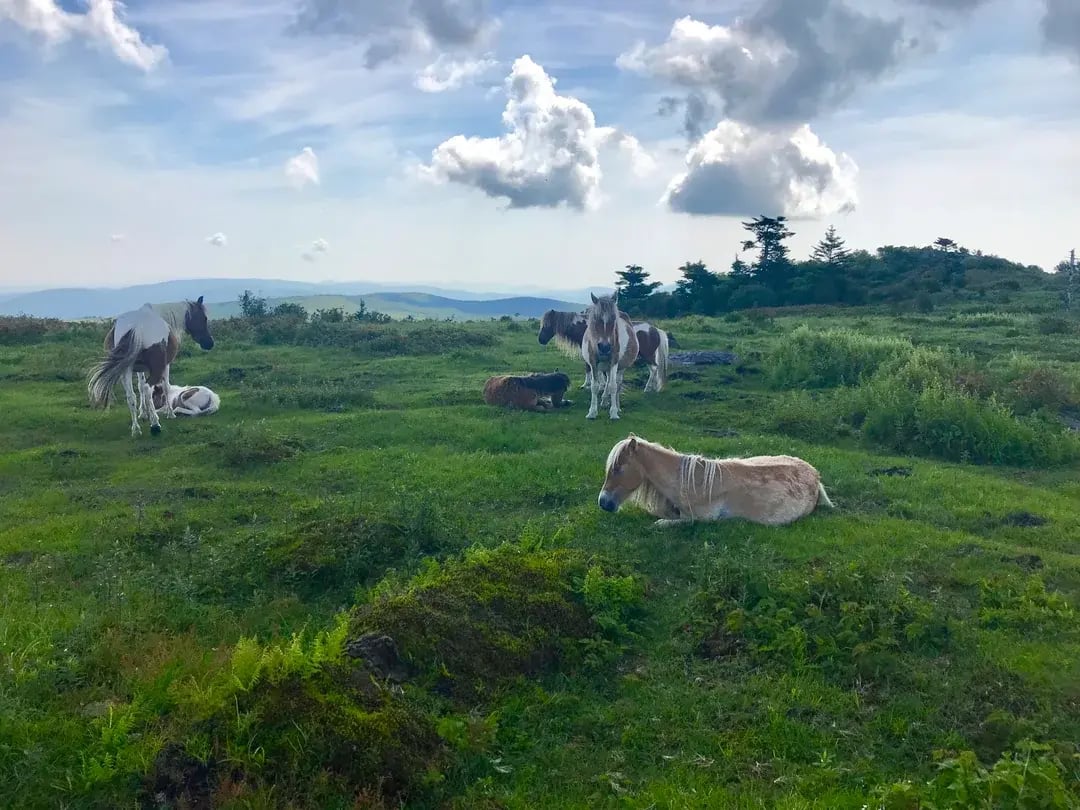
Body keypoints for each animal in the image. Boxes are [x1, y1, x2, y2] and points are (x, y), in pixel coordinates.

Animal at [89, 298, 216, 438]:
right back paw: (155, 425)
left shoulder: (139, 369)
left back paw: (136, 429)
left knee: (131, 395)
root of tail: (135, 327)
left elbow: (140, 387)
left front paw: (144, 413)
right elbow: (165, 387)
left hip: (125, 370)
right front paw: (169, 413)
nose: (209, 343)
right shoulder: (165, 365)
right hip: (154, 368)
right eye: (204, 318)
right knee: (147, 388)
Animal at [583, 291, 639, 419]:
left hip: (620, 368)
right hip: (606, 368)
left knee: (617, 384)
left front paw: (613, 413)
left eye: (614, 318)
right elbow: (595, 386)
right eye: (595, 318)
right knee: (608, 382)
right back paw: (604, 401)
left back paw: (617, 407)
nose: (604, 347)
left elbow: (613, 386)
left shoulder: (614, 362)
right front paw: (592, 412)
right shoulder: (593, 362)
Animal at [596, 434, 829, 529]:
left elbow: (661, 523)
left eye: (617, 468)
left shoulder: (702, 519)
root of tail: (815, 475)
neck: (693, 483)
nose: (603, 503)